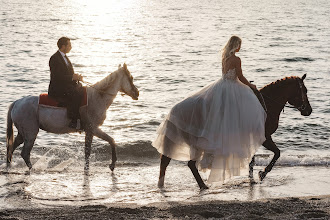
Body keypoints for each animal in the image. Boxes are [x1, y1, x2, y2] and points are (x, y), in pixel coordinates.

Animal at [6, 63, 139, 170]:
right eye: (131, 78)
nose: (137, 93)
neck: (97, 97)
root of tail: (17, 103)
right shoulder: (93, 129)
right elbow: (109, 141)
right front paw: (111, 165)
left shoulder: (90, 131)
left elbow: (91, 149)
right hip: (31, 133)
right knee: (24, 153)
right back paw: (32, 169)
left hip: (22, 134)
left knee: (11, 148)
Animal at [157, 74, 312, 189]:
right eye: (304, 90)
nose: (309, 110)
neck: (267, 105)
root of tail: (174, 111)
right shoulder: (265, 137)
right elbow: (277, 153)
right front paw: (262, 174)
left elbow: (253, 161)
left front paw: (252, 179)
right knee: (187, 164)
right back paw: (201, 186)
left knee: (172, 162)